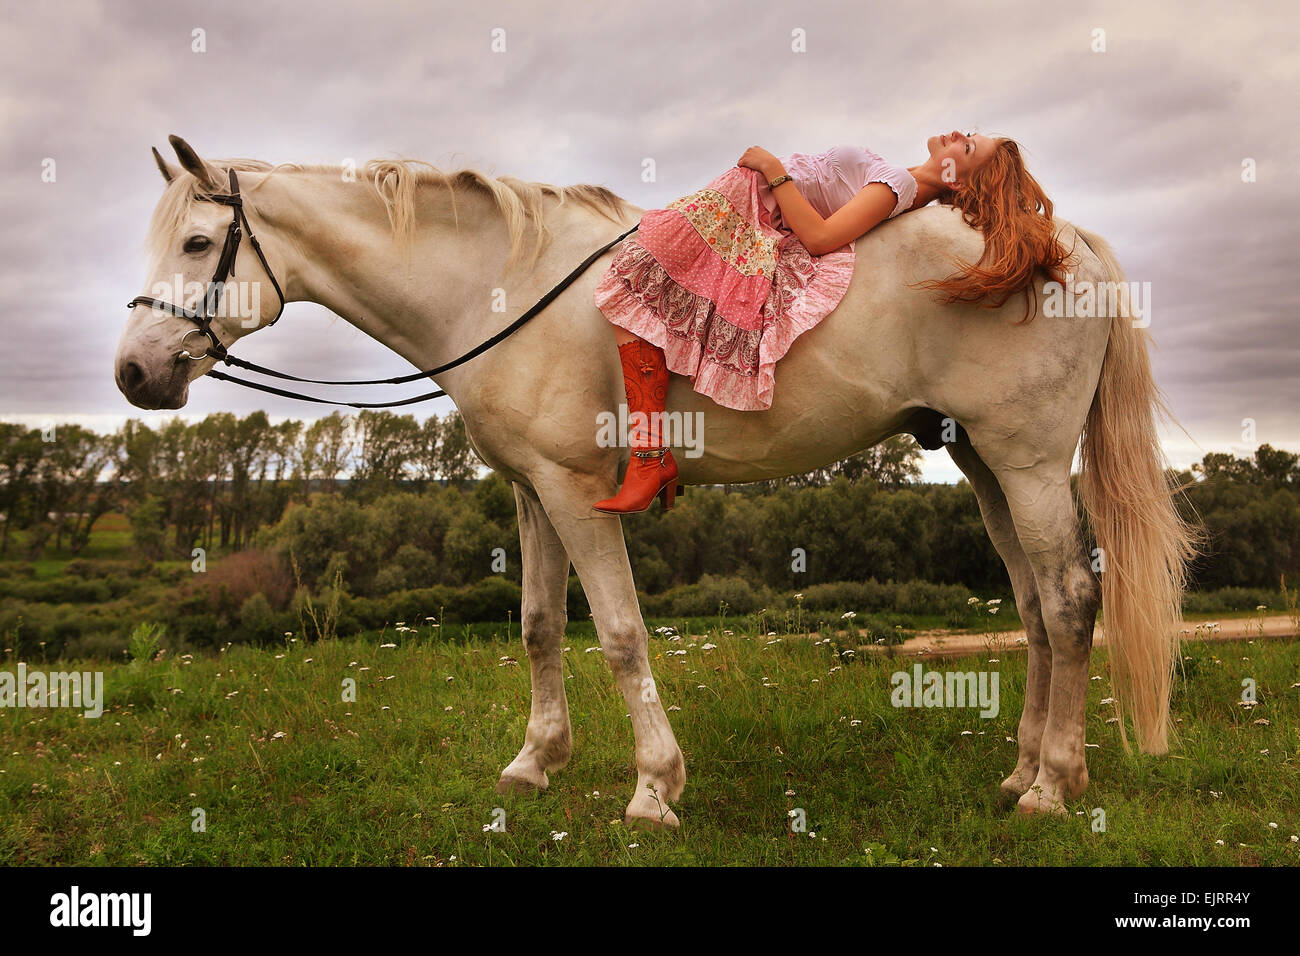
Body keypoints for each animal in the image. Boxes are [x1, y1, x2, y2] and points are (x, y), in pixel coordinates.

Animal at [116, 136, 1190, 832]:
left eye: (199, 245)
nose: (133, 373)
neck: (498, 288)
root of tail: (1063, 241)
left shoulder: (575, 491)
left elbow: (623, 636)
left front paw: (653, 789)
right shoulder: (531, 492)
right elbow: (538, 627)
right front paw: (534, 764)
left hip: (1029, 462)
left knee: (1070, 598)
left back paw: (1053, 786)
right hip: (984, 466)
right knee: (1035, 607)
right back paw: (1022, 776)